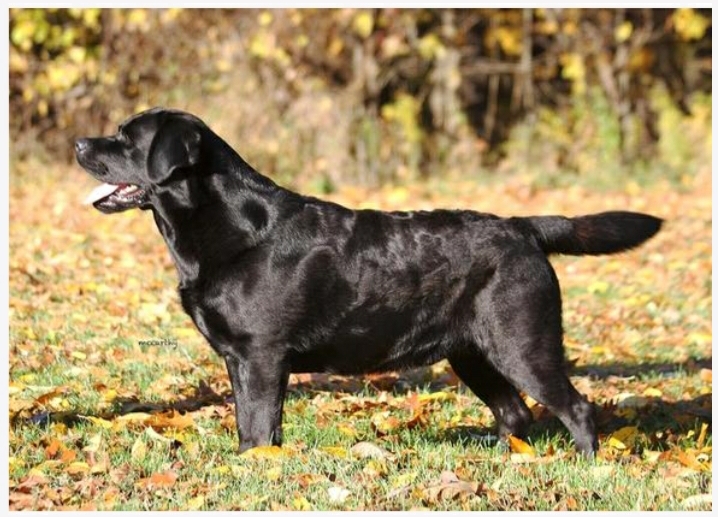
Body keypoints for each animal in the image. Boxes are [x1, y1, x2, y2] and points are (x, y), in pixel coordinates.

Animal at [77, 107, 664, 454]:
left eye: (125, 139)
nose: (80, 144)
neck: (233, 228)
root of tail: (522, 228)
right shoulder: (239, 360)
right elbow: (250, 423)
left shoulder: (261, 356)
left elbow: (259, 424)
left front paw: (254, 467)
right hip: (472, 354)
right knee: (514, 413)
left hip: (522, 343)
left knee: (575, 407)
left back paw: (587, 465)